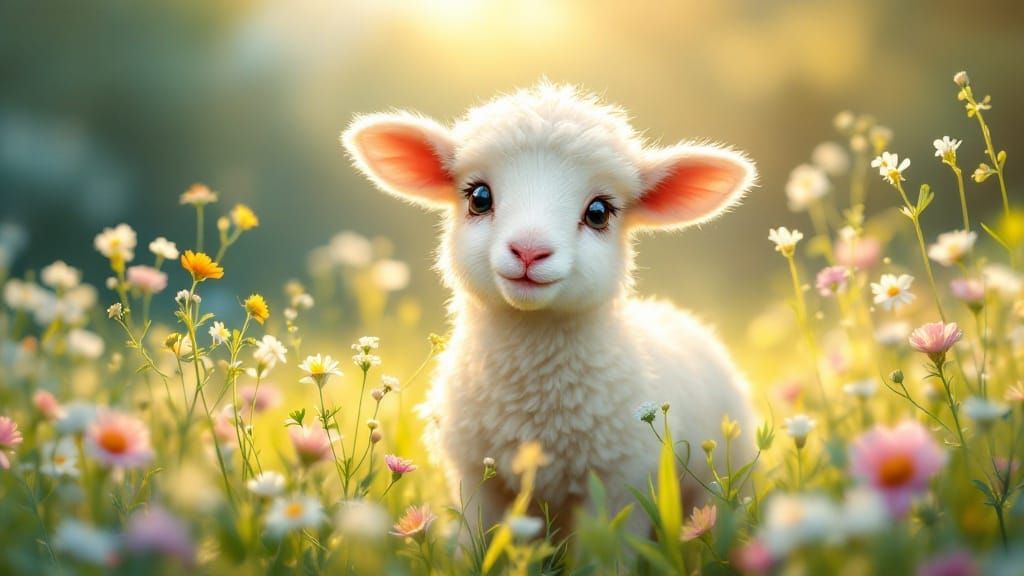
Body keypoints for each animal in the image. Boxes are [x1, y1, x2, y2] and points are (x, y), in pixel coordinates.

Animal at [341, 82, 757, 536]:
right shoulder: (474, 478)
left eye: (599, 212)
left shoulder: (621, 485)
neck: (534, 410)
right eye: (479, 197)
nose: (529, 250)